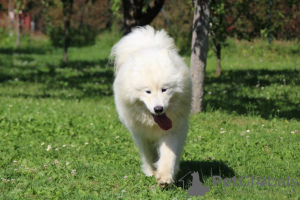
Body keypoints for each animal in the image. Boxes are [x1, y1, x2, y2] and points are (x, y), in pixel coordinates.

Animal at [110, 25, 192, 188]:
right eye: (147, 91)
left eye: (164, 89)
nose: (158, 109)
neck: (154, 124)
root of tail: (149, 46)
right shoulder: (141, 135)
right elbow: (149, 155)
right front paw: (152, 171)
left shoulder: (172, 131)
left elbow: (168, 154)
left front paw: (165, 177)